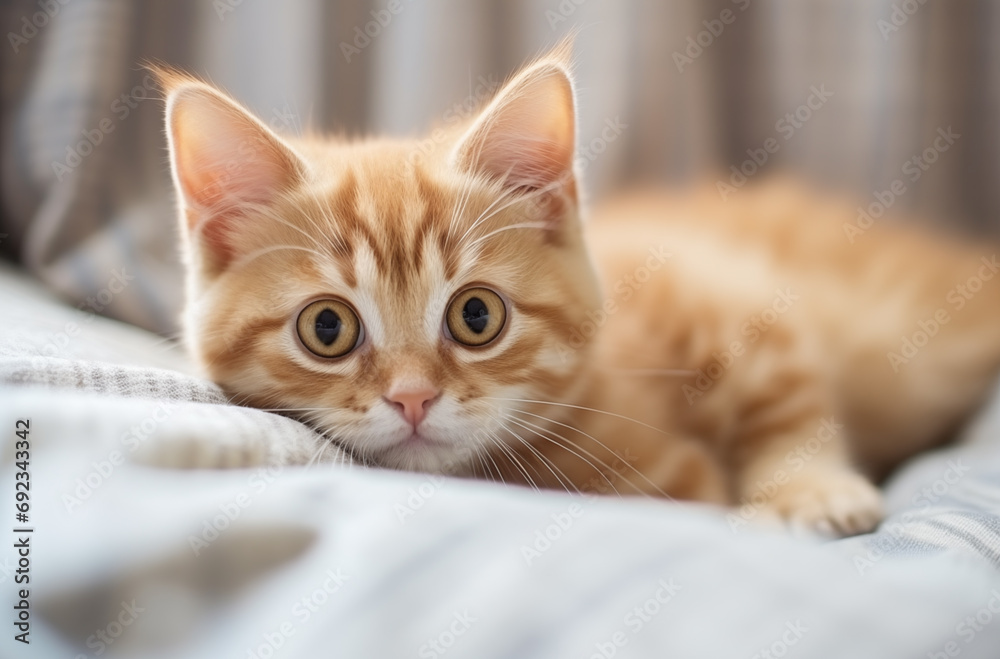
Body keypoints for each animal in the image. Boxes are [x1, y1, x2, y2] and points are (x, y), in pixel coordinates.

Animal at [156, 45, 1000, 536]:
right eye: (326, 329)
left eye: (476, 315)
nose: (413, 398)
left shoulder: (718, 290)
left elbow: (786, 396)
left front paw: (810, 492)